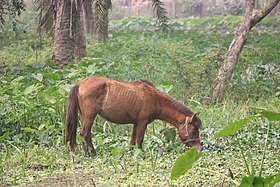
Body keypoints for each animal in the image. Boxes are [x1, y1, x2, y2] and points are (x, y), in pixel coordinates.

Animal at [64, 76, 202, 156]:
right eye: (193, 130)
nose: (199, 147)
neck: (155, 99)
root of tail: (80, 84)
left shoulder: (136, 123)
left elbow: (132, 139)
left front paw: (130, 153)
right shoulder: (142, 122)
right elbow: (139, 139)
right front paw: (140, 153)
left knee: (83, 134)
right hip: (90, 117)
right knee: (85, 133)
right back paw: (91, 153)